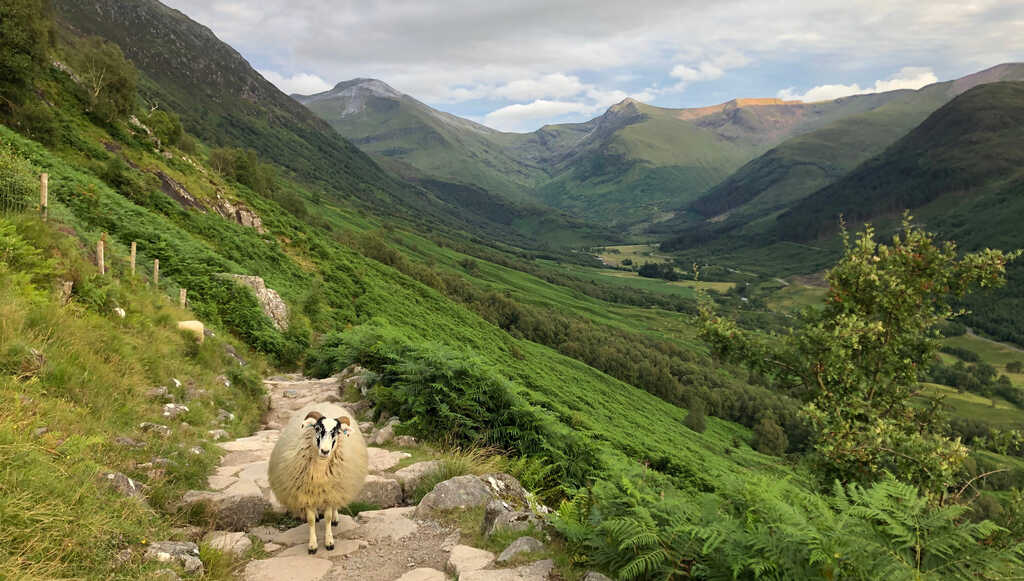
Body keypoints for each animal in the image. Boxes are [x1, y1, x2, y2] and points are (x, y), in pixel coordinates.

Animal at [268, 401, 368, 553]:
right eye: (317, 428)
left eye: (337, 432)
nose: (325, 451)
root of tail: (326, 404)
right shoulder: (306, 492)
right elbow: (310, 520)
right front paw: (312, 545)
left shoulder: (330, 492)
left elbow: (327, 517)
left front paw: (329, 542)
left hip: (339, 485)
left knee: (335, 504)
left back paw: (335, 518)